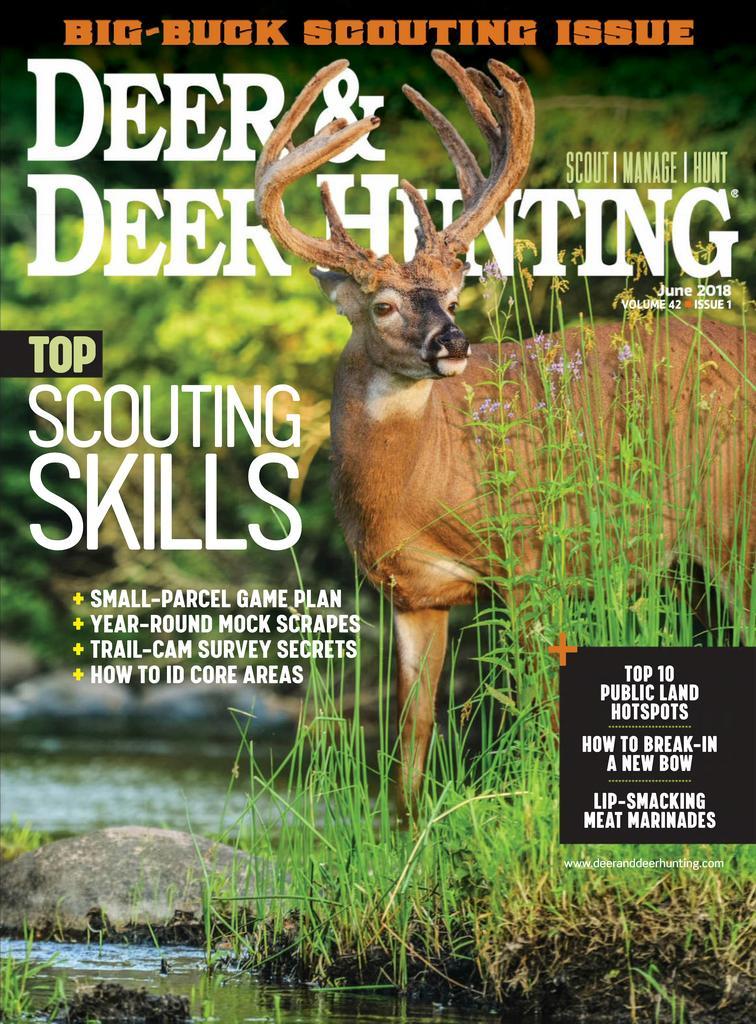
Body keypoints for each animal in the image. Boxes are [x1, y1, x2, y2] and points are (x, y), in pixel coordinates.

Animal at [256, 50, 754, 821]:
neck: (417, 487)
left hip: (732, 518)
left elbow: (540, 706)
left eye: (453, 296)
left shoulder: (530, 557)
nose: (453, 343)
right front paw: (406, 836)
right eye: (383, 304)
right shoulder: (411, 593)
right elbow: (410, 739)